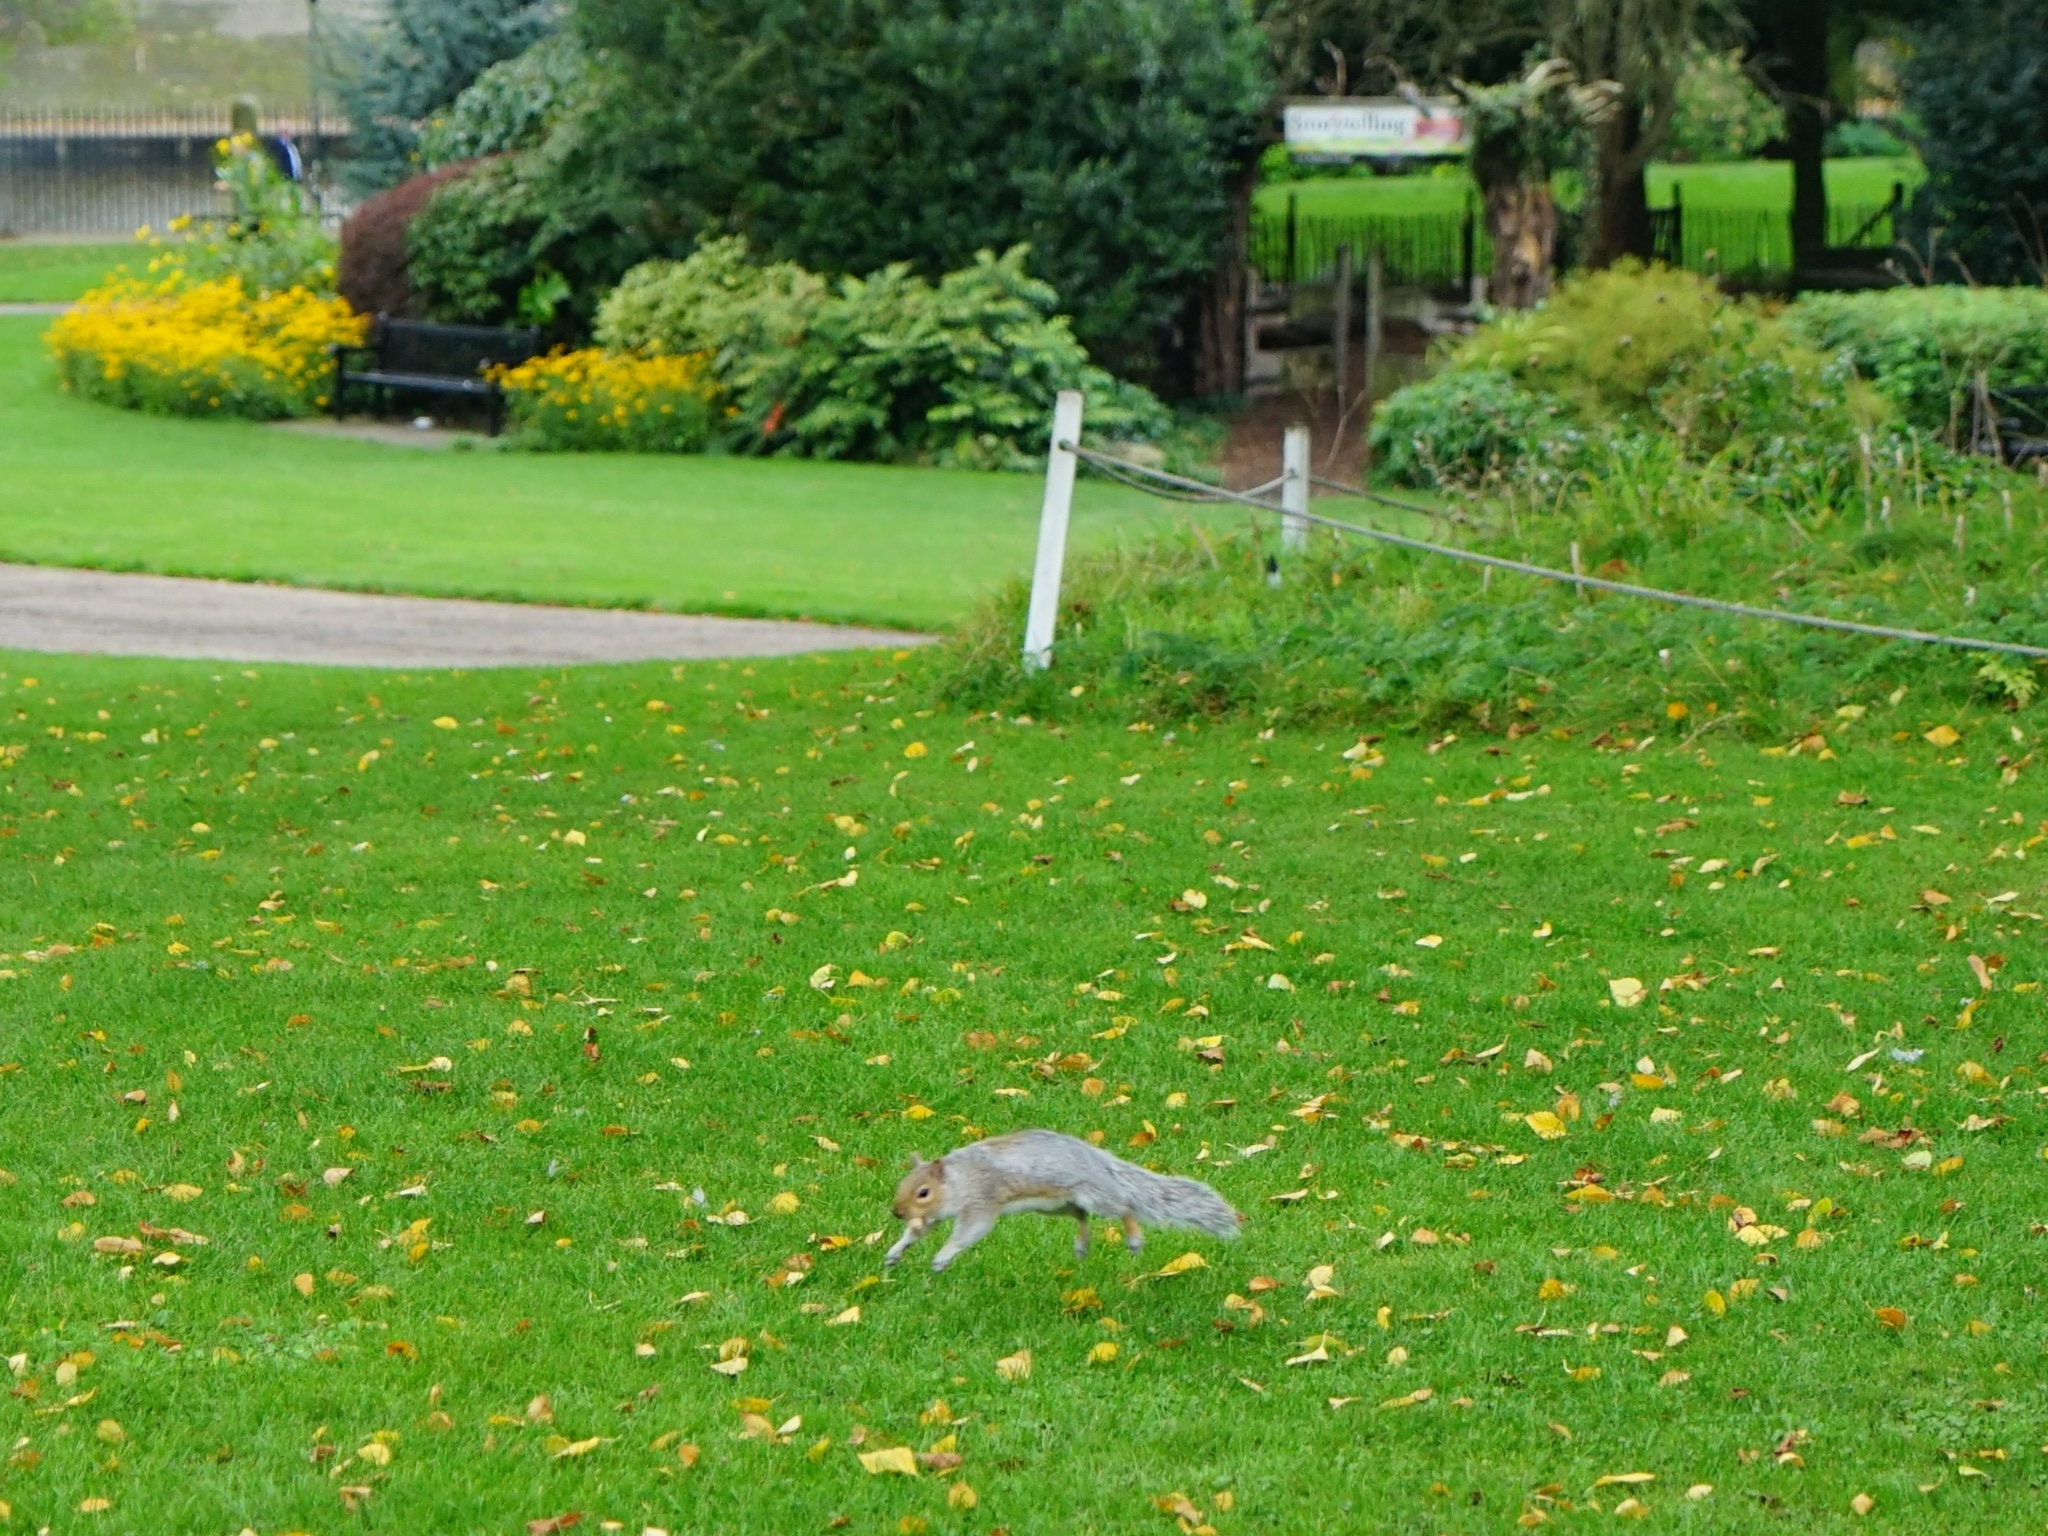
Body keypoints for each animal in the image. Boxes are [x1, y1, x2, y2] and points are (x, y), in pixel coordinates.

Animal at [884, 1130, 1236, 1277]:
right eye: (902, 1185)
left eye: (923, 1192)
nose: (897, 1212)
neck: (959, 1180)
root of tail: (1098, 1161)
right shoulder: (933, 1216)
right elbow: (917, 1233)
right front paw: (895, 1251)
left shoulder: (982, 1200)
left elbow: (969, 1233)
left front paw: (943, 1256)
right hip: (1056, 1204)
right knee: (1081, 1215)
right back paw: (1081, 1245)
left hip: (1096, 1194)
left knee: (1124, 1205)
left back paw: (1134, 1237)